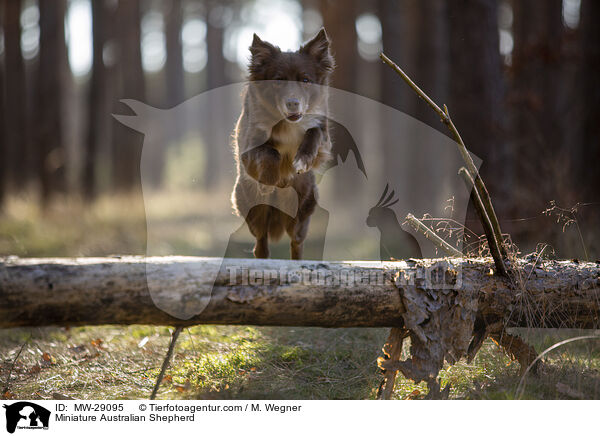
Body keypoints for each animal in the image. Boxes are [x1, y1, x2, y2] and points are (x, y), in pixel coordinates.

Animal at [231, 29, 332, 258]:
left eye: (306, 80)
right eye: (278, 80)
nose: (293, 103)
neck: (286, 122)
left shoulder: (323, 138)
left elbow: (313, 133)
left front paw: (302, 160)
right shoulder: (248, 150)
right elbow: (271, 153)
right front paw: (269, 180)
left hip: (302, 208)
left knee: (296, 242)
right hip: (254, 209)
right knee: (261, 244)